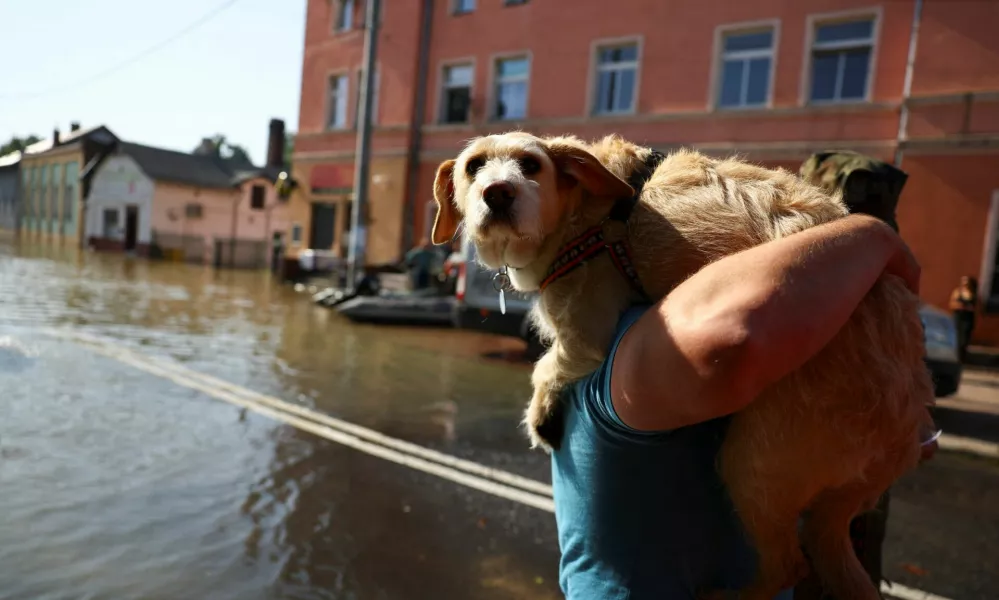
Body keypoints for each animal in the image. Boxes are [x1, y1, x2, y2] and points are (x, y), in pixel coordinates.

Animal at [432, 132, 936, 600]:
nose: (497, 192)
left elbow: (544, 367)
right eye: (474, 166)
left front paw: (540, 416)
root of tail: (906, 434)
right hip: (823, 504)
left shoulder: (586, 334)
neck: (585, 214)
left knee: (787, 564)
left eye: (531, 165)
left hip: (752, 462)